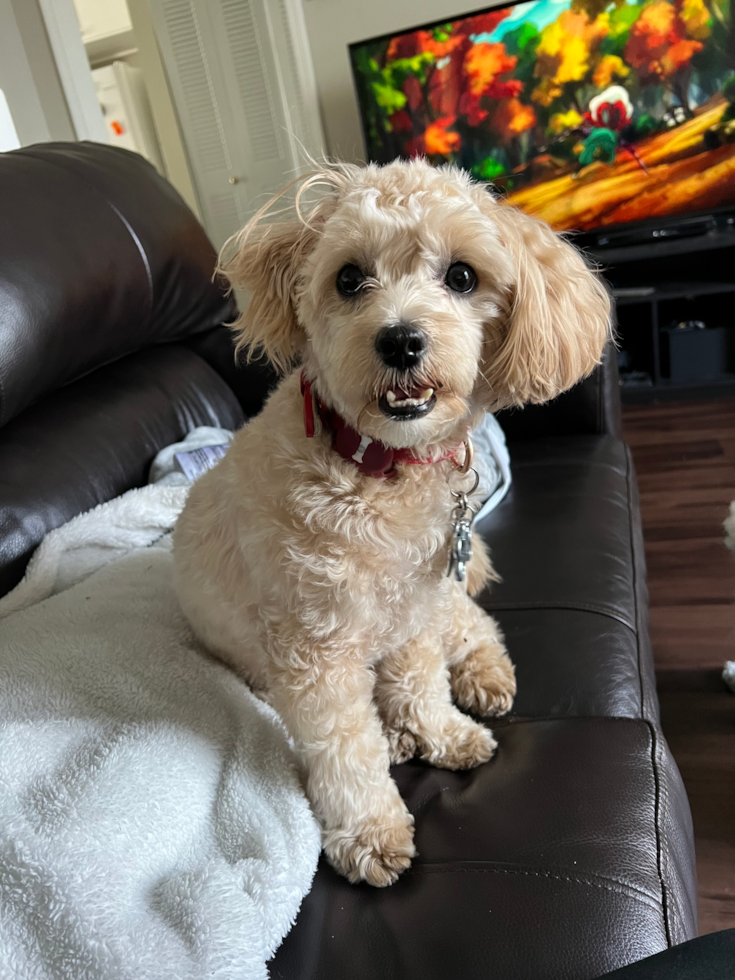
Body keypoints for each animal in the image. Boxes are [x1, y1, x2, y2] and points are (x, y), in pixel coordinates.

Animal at [172, 157, 608, 884]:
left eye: (461, 276)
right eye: (349, 278)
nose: (401, 340)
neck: (380, 471)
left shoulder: (413, 614)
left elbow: (421, 685)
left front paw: (442, 733)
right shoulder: (315, 655)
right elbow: (348, 748)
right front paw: (370, 829)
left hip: (443, 601)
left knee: (477, 625)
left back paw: (482, 678)